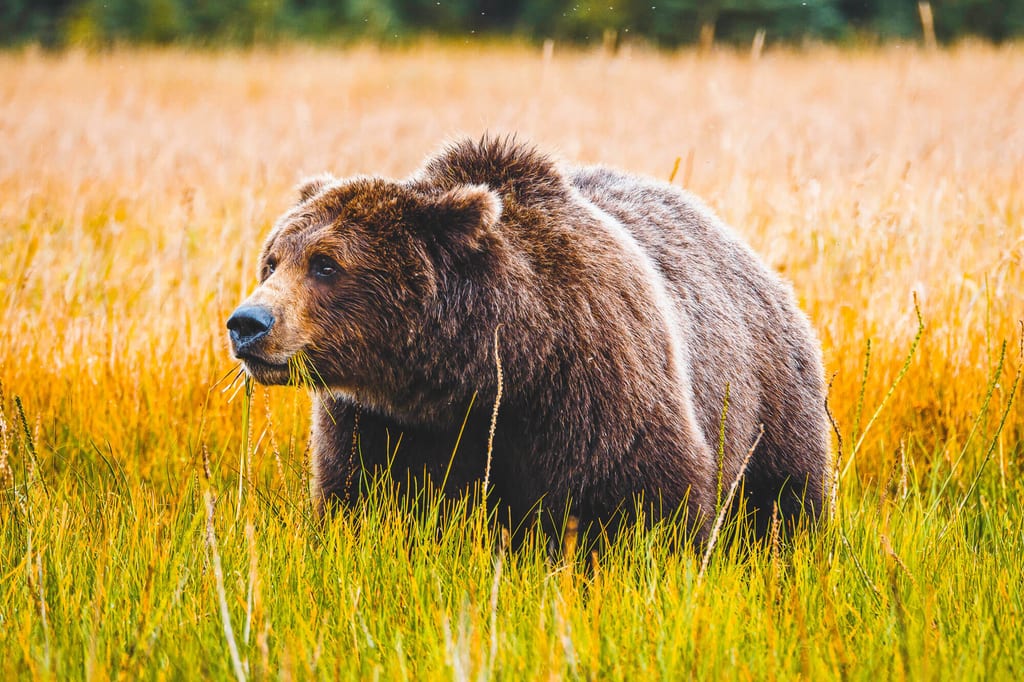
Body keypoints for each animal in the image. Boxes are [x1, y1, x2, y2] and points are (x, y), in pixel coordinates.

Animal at [226, 136, 831, 544]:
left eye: (326, 264)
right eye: (272, 260)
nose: (247, 323)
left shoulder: (593, 387)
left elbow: (643, 502)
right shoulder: (377, 422)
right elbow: (363, 500)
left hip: (767, 400)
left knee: (783, 502)